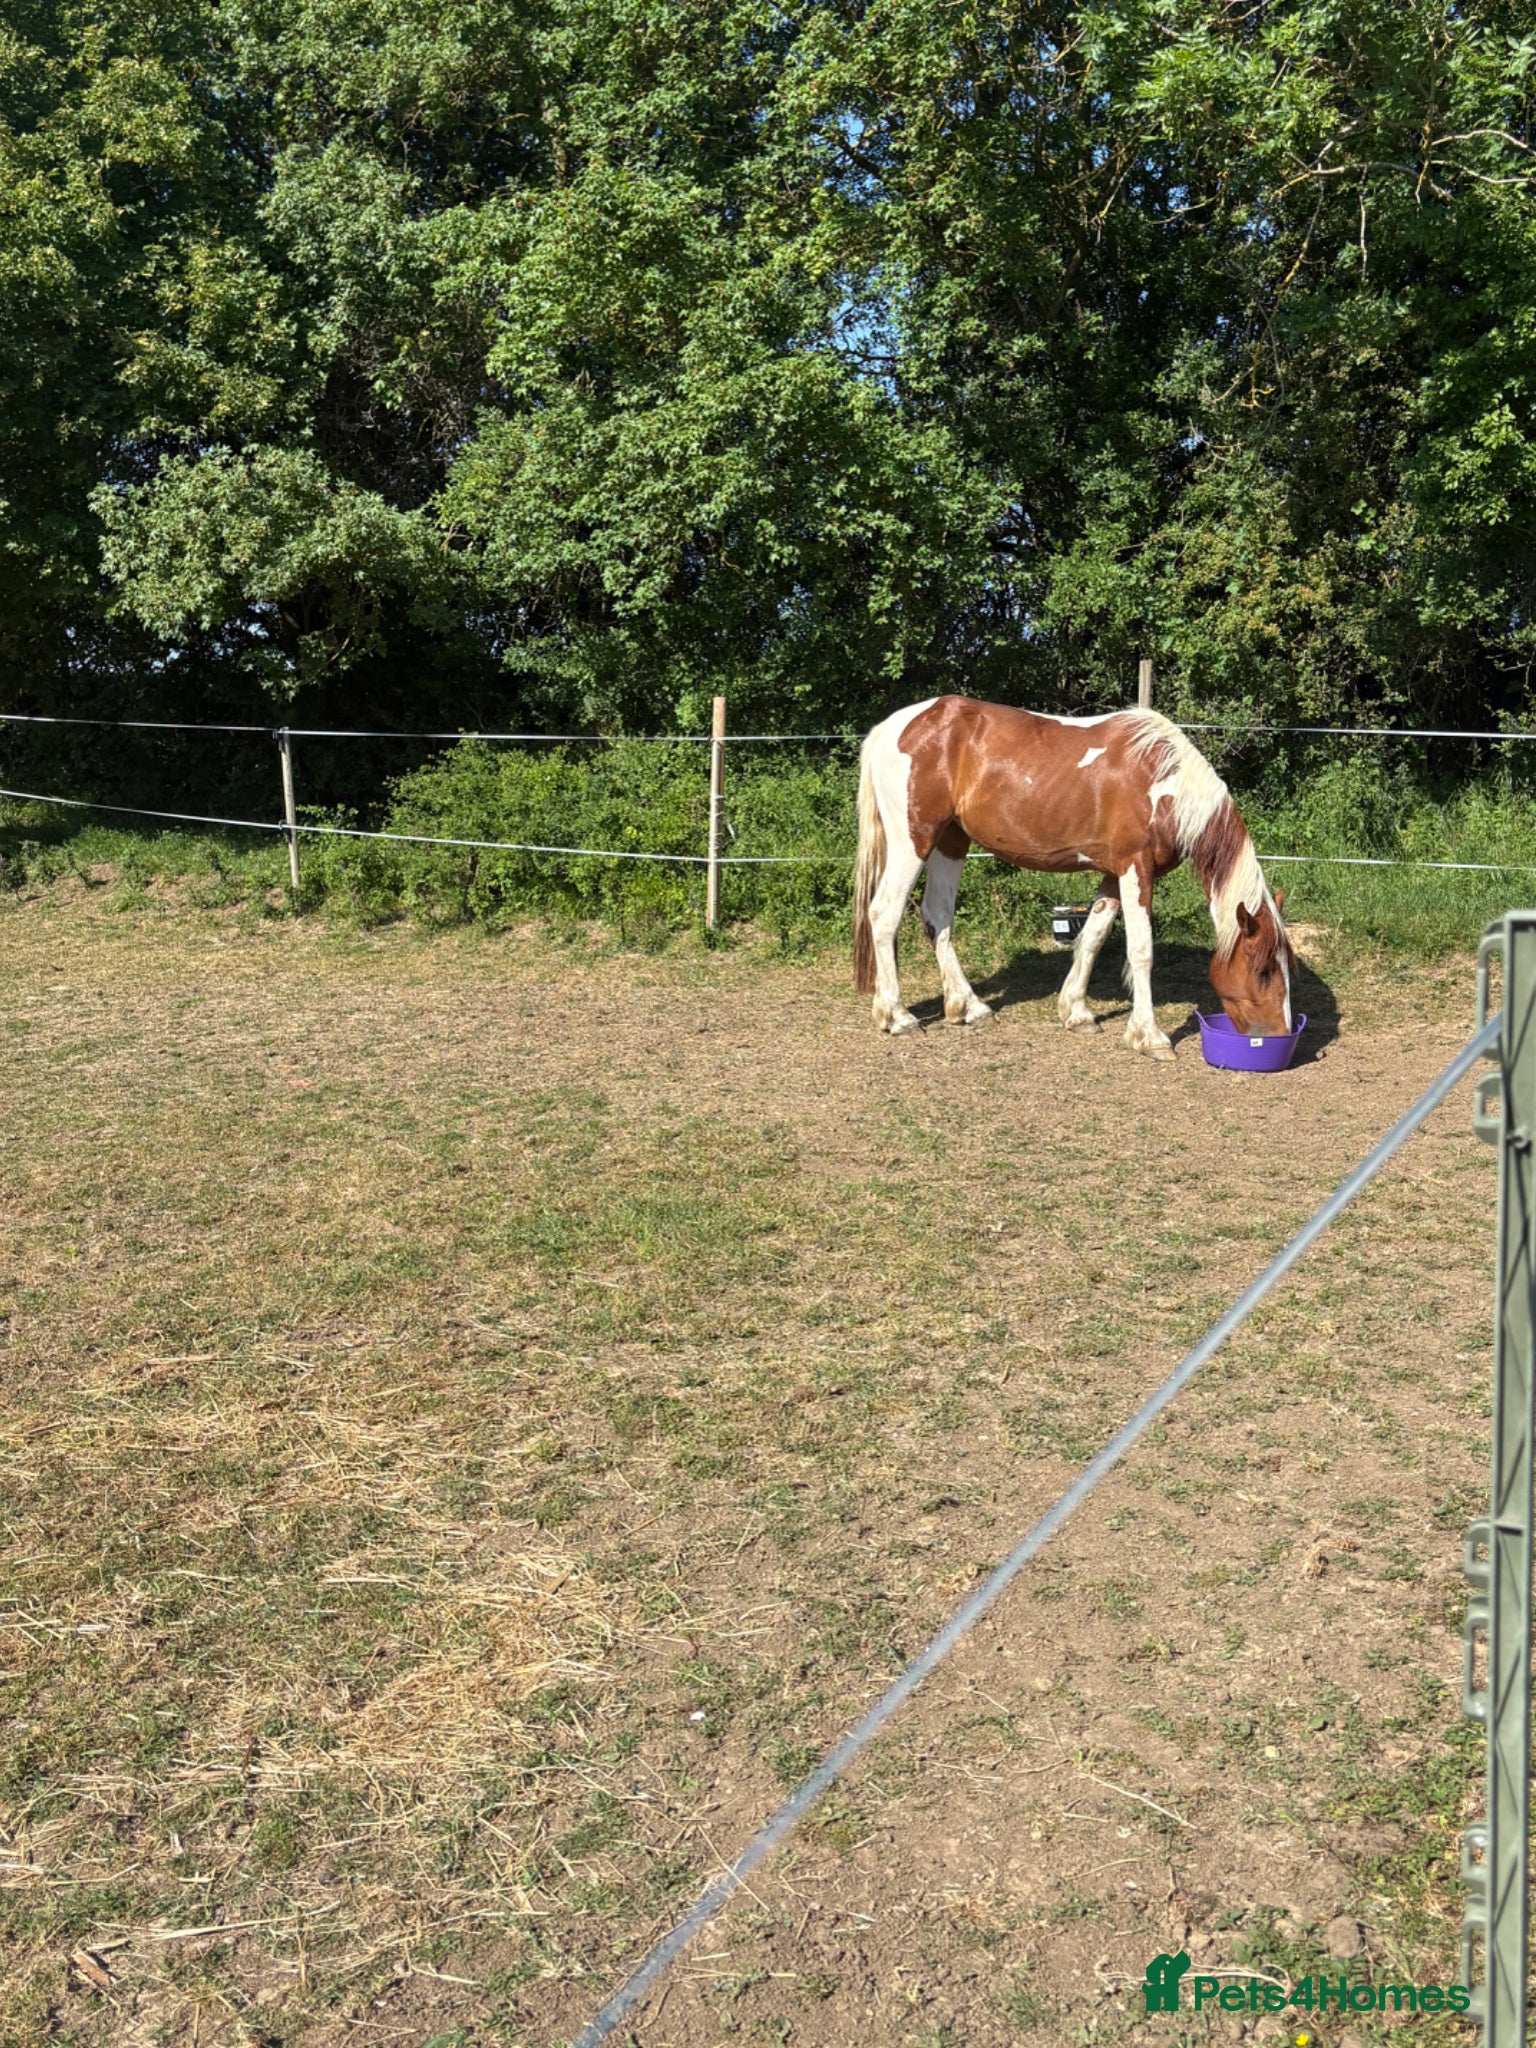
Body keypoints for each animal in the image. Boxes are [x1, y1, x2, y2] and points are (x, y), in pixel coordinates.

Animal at [852, 696, 1293, 1059]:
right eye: (1263, 971)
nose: (1278, 1035)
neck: (1163, 781)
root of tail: (893, 726)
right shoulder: (1136, 869)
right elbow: (1141, 950)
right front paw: (1149, 1036)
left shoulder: (1114, 873)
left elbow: (1094, 936)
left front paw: (1077, 1012)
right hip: (914, 841)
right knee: (885, 913)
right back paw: (898, 1017)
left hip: (951, 842)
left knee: (937, 915)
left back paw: (970, 1007)